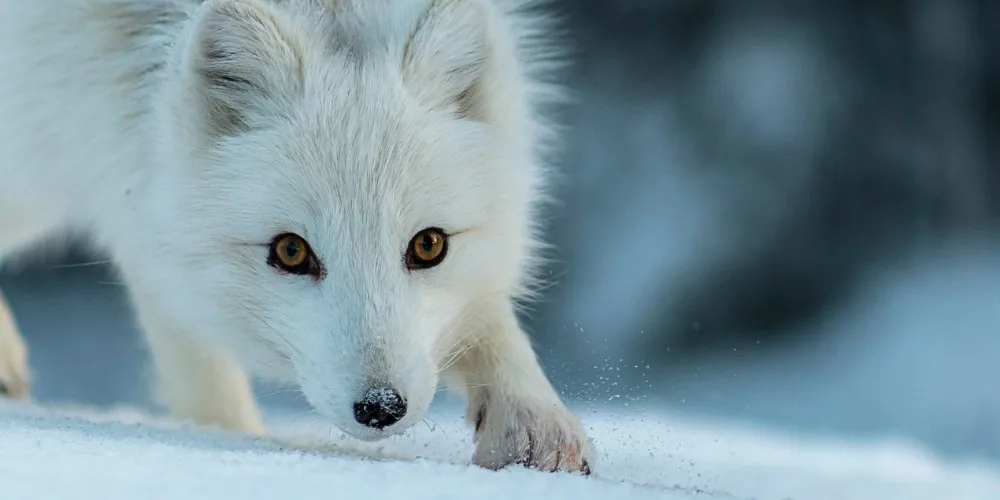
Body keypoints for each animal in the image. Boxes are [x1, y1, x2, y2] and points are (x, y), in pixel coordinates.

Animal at [0, 0, 592, 474]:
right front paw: (231, 444)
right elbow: (201, 374)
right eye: (290, 251)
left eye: (429, 245)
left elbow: (487, 315)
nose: (381, 408)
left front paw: (532, 424)